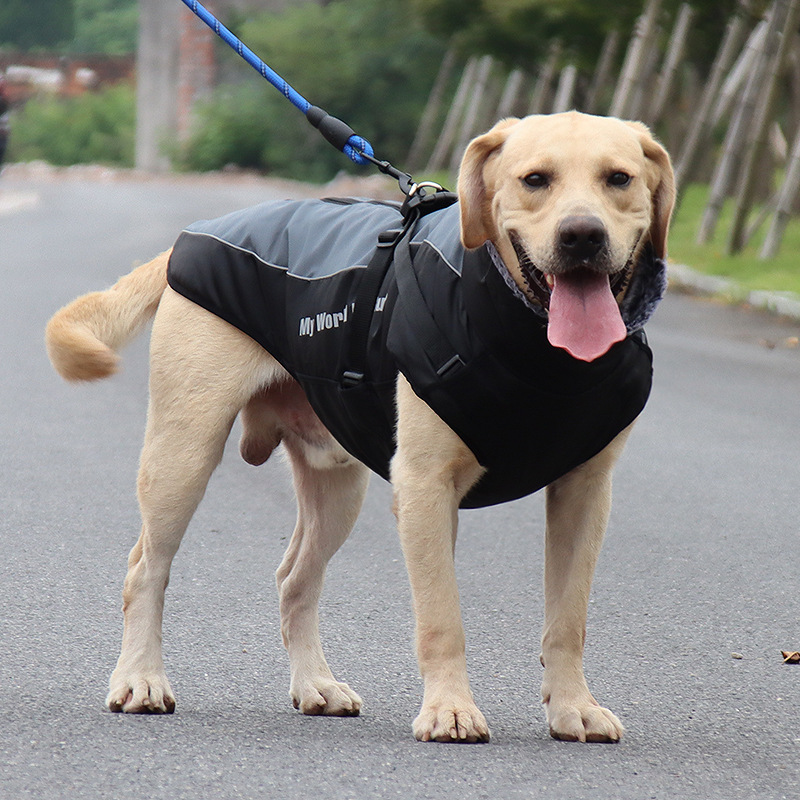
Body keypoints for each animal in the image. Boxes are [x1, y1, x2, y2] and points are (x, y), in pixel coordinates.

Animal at [47, 111, 676, 744]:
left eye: (619, 178)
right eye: (535, 180)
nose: (582, 236)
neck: (539, 351)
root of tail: (198, 232)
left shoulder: (584, 492)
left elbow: (569, 619)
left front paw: (574, 707)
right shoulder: (425, 488)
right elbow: (442, 617)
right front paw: (450, 709)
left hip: (335, 485)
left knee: (294, 579)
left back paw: (315, 685)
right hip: (184, 453)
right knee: (145, 569)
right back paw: (141, 679)